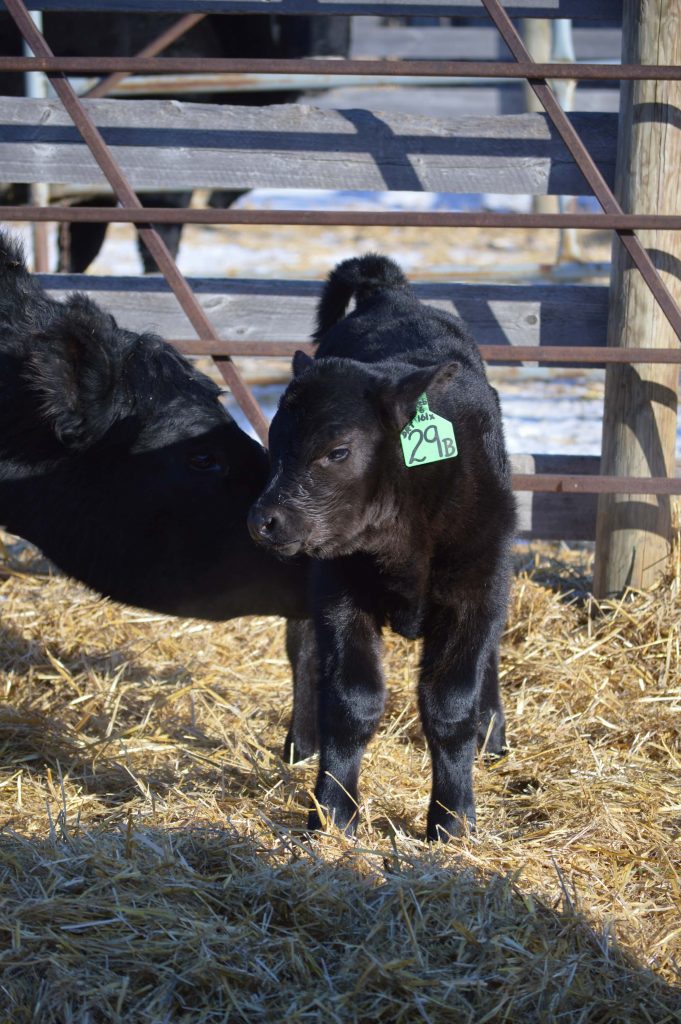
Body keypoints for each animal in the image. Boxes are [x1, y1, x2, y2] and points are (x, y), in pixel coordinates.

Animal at [249, 256, 516, 839]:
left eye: (338, 451)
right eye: (275, 443)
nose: (263, 521)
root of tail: (388, 293)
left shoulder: (475, 588)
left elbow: (451, 703)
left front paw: (452, 819)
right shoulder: (339, 590)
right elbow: (352, 700)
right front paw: (332, 811)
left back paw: (493, 735)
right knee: (303, 649)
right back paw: (302, 744)